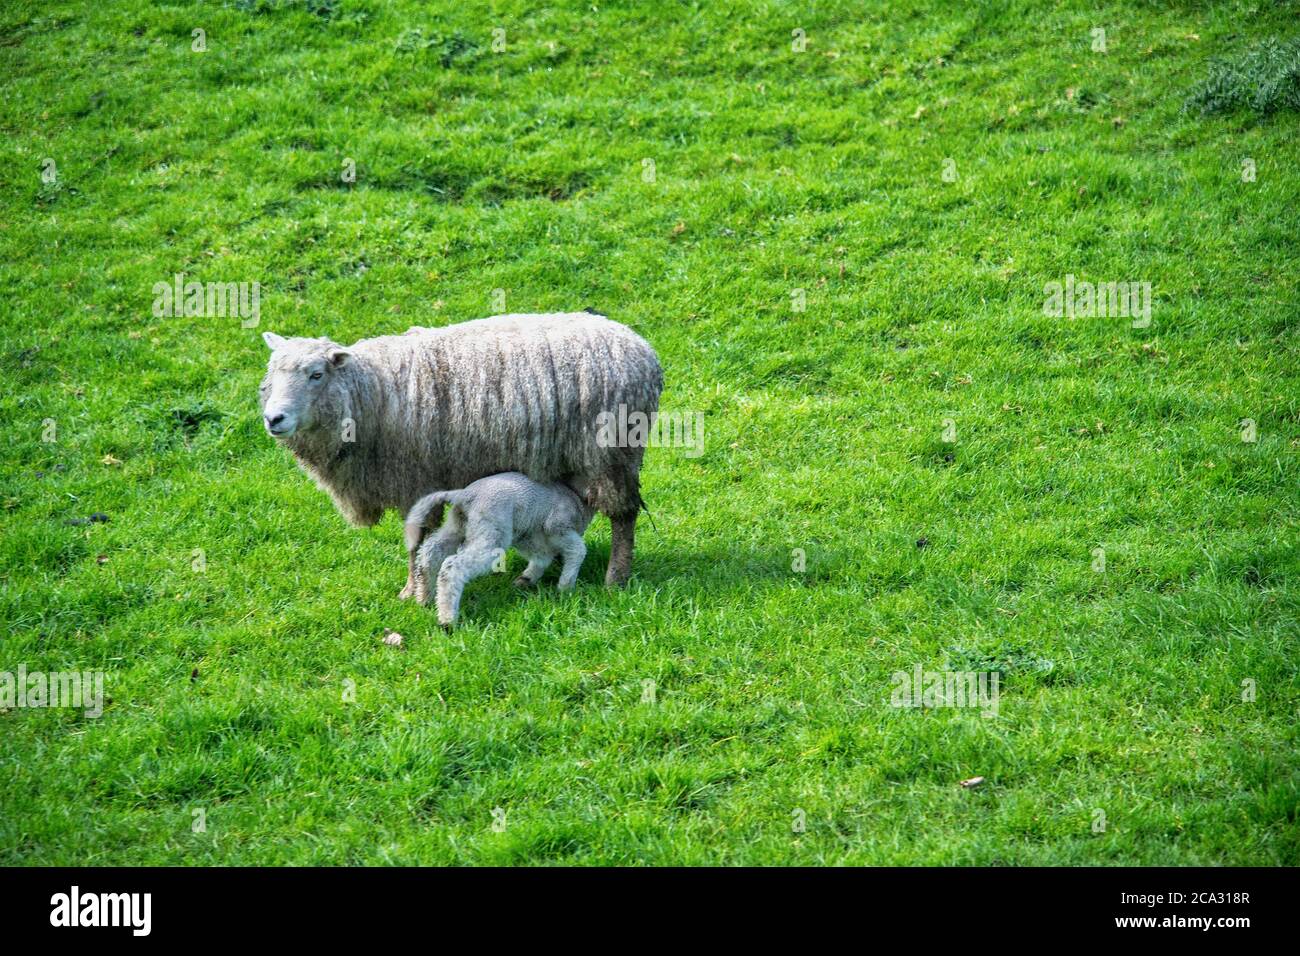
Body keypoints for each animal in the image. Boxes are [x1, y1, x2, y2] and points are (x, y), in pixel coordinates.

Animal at [258, 312, 661, 592]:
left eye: (316, 375)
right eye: (271, 376)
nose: (274, 418)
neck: (372, 391)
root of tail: (643, 351)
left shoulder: (418, 480)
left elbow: (417, 538)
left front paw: (411, 589)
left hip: (611, 454)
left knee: (623, 517)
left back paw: (615, 578)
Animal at [404, 472, 595, 628]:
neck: (574, 496)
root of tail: (465, 495)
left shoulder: (527, 534)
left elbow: (541, 556)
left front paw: (527, 578)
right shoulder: (557, 527)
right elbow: (578, 550)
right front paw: (566, 588)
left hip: (457, 526)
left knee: (431, 551)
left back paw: (424, 598)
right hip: (492, 534)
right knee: (452, 567)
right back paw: (447, 620)